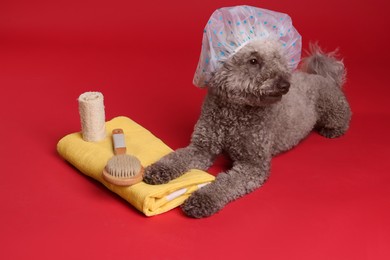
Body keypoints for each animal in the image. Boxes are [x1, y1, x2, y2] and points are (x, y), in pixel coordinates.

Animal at [145, 38, 352, 217]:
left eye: (278, 60)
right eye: (253, 61)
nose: (285, 85)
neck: (233, 114)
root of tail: (319, 75)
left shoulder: (253, 165)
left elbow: (225, 183)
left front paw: (203, 199)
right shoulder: (201, 148)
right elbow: (177, 157)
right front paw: (158, 170)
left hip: (331, 105)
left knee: (343, 118)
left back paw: (333, 130)